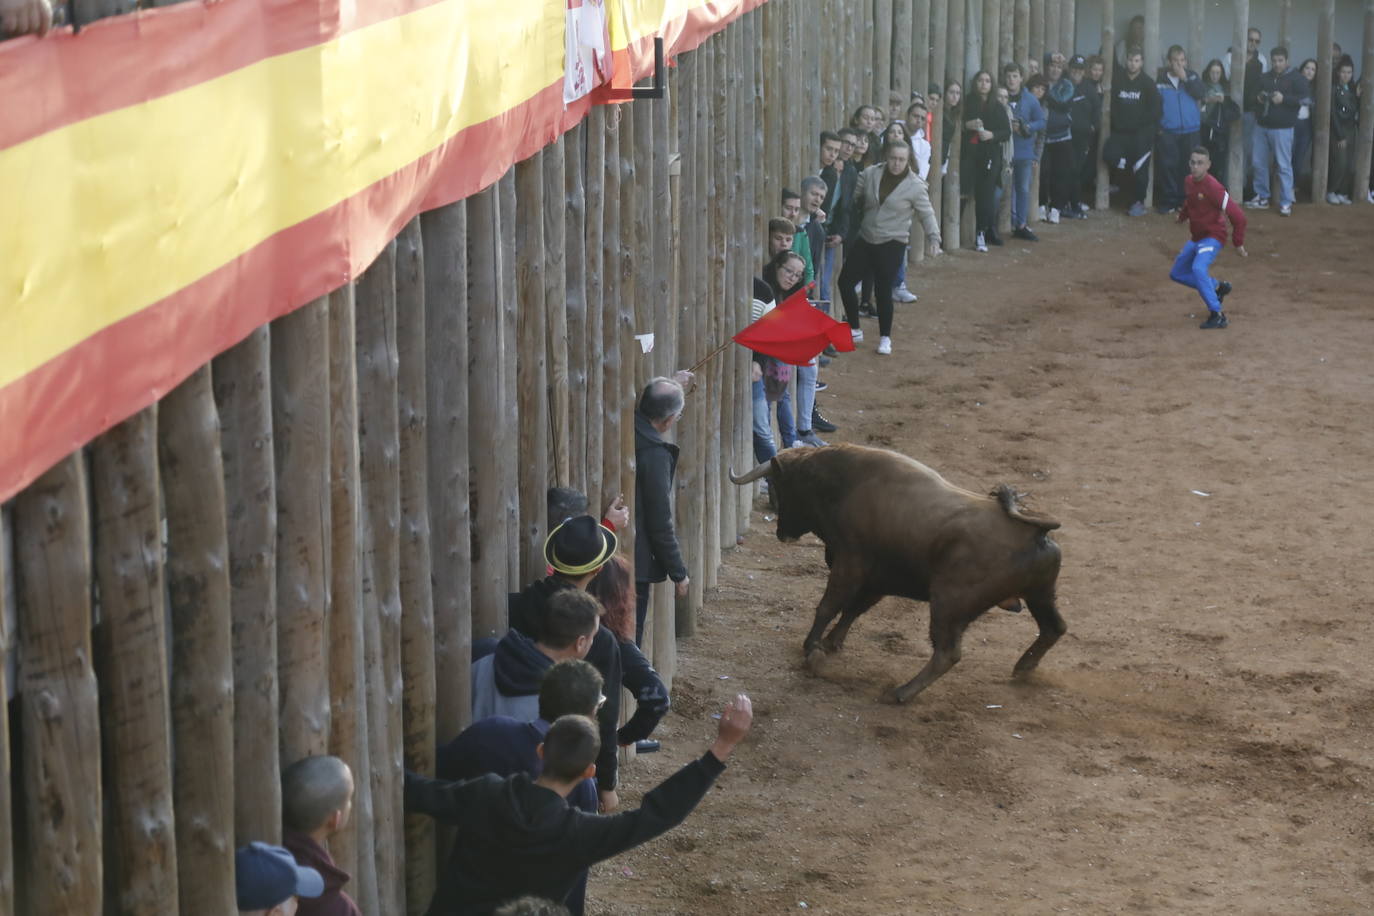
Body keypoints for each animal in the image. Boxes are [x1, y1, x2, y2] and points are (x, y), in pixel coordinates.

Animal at [730, 444, 1060, 703]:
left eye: (781, 487)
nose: (781, 533)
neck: (843, 485)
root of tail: (1034, 532)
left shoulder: (850, 564)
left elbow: (829, 606)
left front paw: (812, 647)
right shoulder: (878, 578)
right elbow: (854, 609)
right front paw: (831, 642)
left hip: (948, 604)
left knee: (947, 653)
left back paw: (901, 693)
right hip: (1041, 595)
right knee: (1053, 628)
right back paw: (1023, 668)